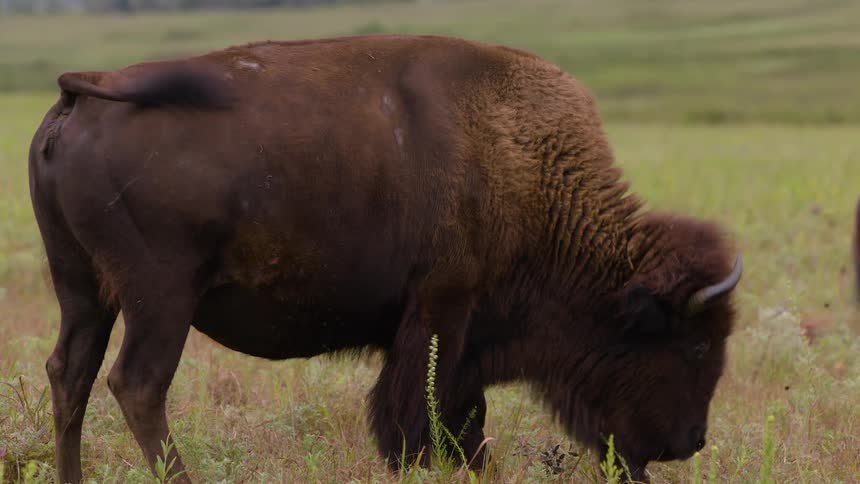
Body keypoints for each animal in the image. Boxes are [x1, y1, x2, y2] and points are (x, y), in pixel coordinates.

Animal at [29, 34, 742, 483]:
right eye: (695, 345)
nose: (691, 441)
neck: (521, 159)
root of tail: (84, 92)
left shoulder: (456, 333)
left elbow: (458, 416)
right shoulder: (443, 311)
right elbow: (424, 415)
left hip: (81, 288)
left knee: (72, 375)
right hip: (160, 296)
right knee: (137, 383)